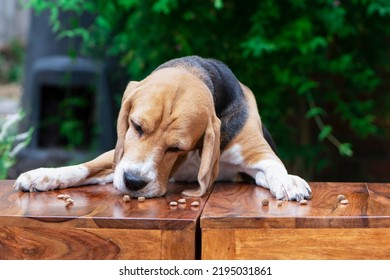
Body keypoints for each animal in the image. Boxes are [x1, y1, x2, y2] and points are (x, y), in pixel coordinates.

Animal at [14, 55, 310, 200]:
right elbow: (84, 167)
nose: (133, 182)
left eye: (176, 147)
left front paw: (288, 181)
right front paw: (44, 175)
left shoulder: (257, 152)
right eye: (136, 126)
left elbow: (274, 167)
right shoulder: (119, 156)